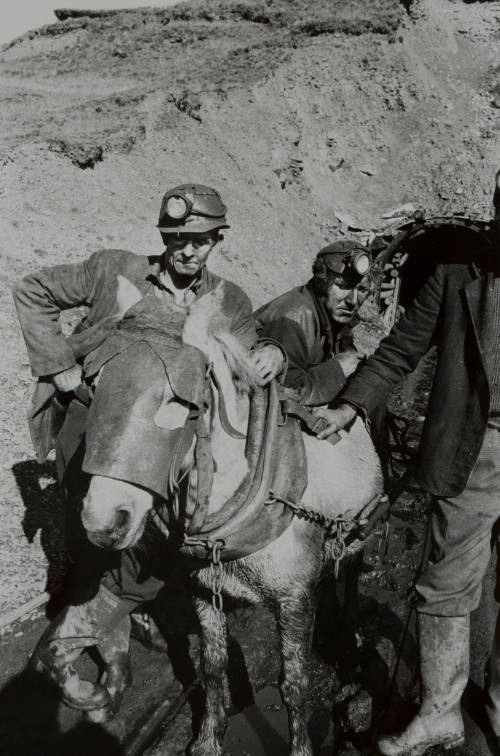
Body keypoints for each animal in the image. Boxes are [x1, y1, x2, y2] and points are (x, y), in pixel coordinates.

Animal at [81, 286, 382, 752]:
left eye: (175, 401)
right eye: (95, 386)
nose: (102, 521)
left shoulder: (295, 599)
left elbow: (294, 683)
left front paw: (300, 745)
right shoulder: (204, 590)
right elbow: (213, 667)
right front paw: (208, 738)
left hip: (362, 529)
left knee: (351, 571)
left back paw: (350, 632)